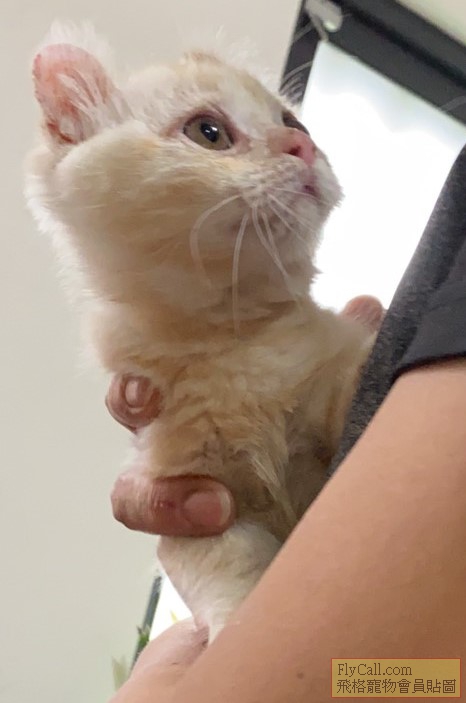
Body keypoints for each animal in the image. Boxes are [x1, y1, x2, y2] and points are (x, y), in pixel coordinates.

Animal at [26, 25, 375, 641]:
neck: (237, 344)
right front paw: (241, 625)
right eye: (208, 132)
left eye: (295, 123)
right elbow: (228, 573)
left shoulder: (345, 382)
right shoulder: (200, 510)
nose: (301, 145)